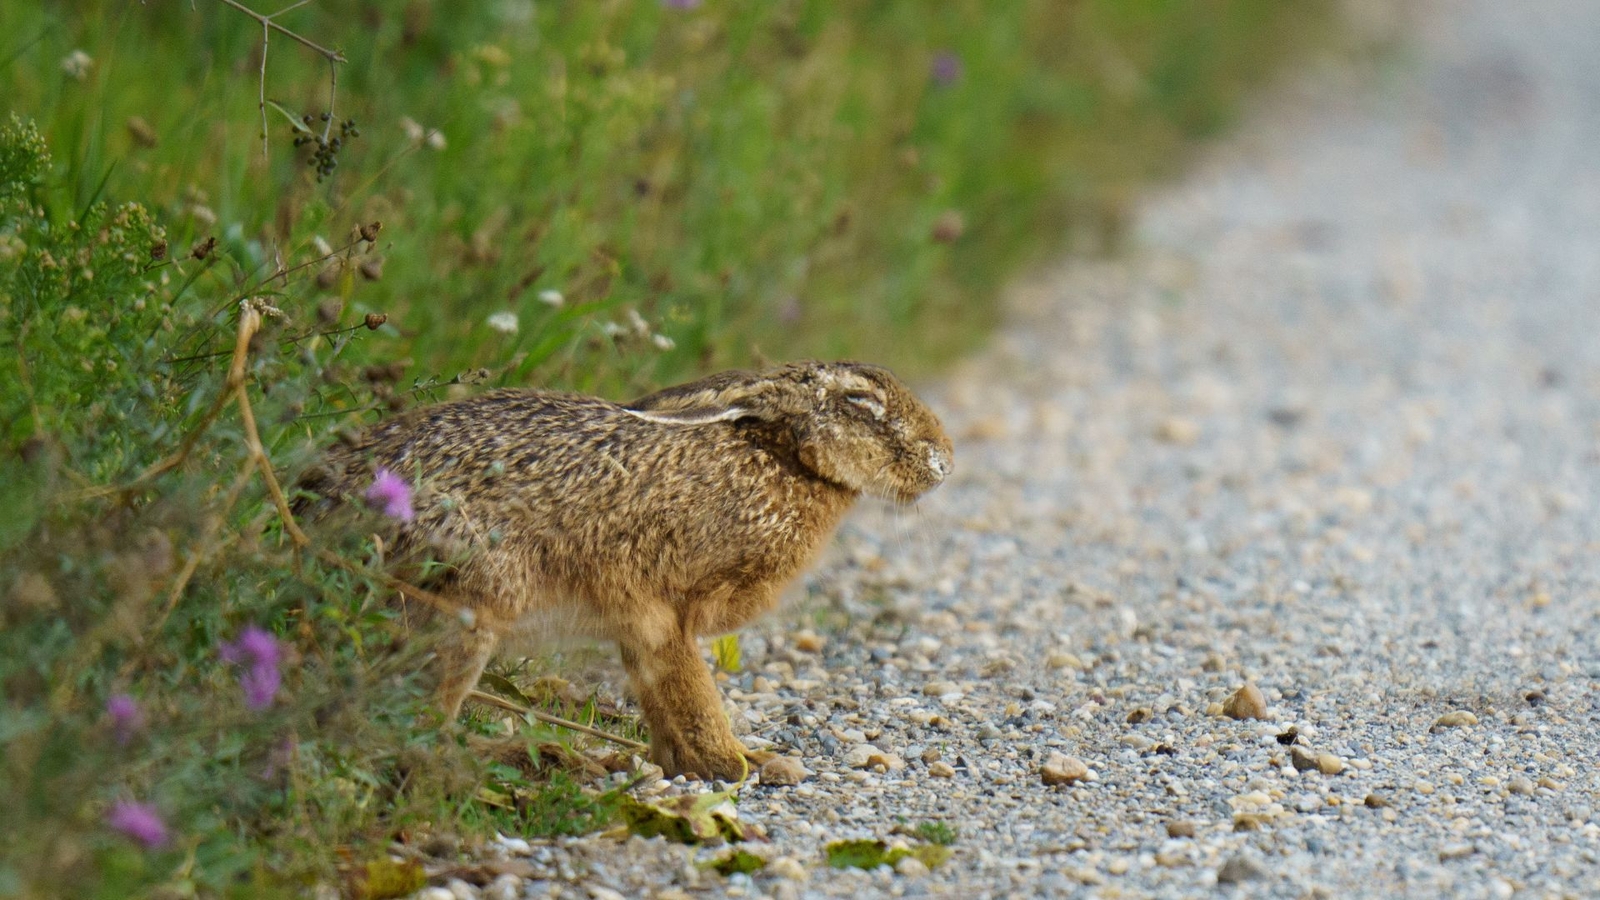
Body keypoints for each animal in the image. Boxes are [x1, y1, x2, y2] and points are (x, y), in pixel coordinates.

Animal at [297, 360, 952, 779]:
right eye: (860, 402)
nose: (944, 460)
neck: (781, 458)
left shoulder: (640, 625)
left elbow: (663, 703)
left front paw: (703, 764)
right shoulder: (664, 612)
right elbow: (692, 692)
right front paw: (736, 764)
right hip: (468, 607)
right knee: (408, 727)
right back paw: (546, 762)